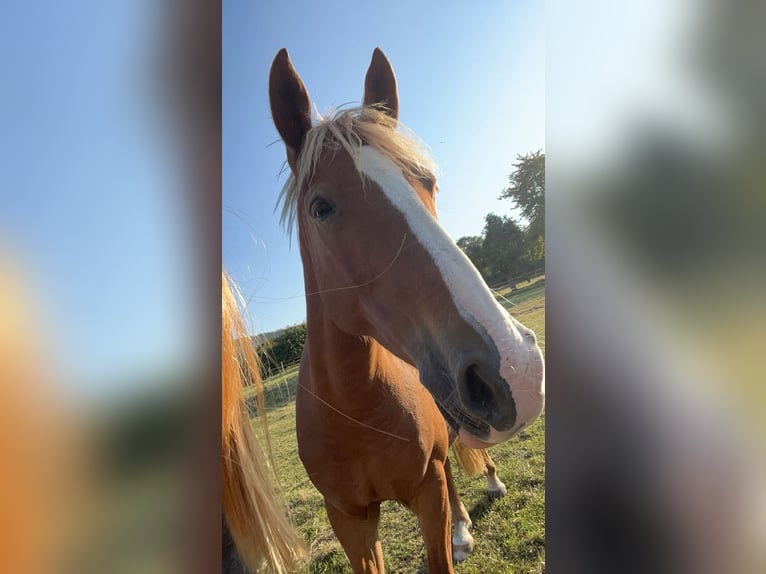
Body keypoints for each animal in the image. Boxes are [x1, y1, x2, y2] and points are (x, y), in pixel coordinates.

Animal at [268, 48, 545, 573]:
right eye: (320, 207)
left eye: (428, 182)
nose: (516, 371)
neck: (356, 406)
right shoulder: (350, 520)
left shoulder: (426, 491)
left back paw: (487, 489)